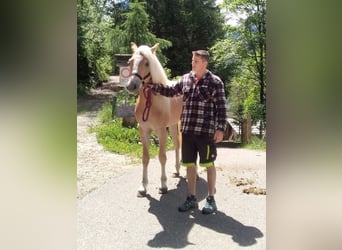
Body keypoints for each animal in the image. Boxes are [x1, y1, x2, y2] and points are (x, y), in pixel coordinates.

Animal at [125, 43, 183, 197]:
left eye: (147, 63)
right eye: (130, 61)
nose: (131, 85)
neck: (151, 101)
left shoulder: (161, 131)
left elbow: (162, 157)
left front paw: (163, 185)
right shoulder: (144, 130)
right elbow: (145, 158)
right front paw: (143, 187)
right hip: (173, 125)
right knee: (177, 145)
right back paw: (177, 170)